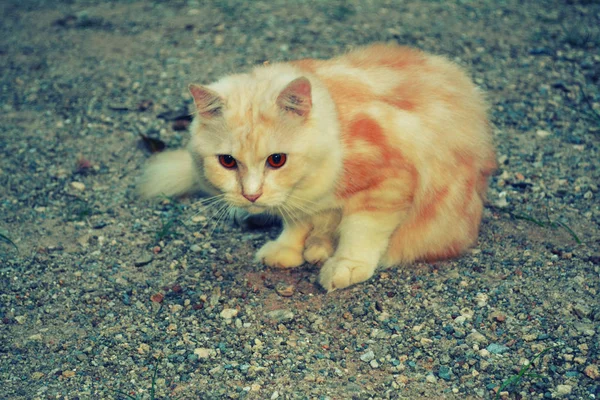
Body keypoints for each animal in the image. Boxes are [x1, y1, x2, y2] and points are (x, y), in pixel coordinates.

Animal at [141, 43, 496, 290]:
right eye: (227, 162)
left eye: (277, 160)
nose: (251, 195)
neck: (338, 133)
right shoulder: (299, 200)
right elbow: (294, 224)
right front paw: (286, 249)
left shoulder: (388, 185)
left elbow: (361, 231)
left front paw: (346, 266)